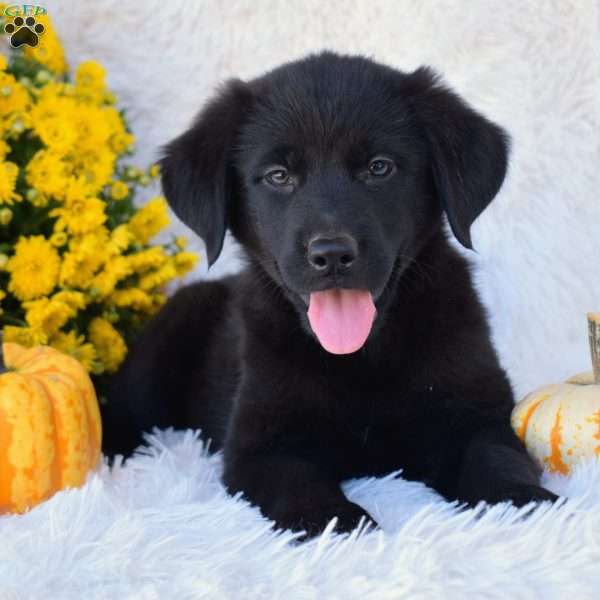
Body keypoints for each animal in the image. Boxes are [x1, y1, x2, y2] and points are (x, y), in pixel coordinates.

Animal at [104, 51, 556, 536]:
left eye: (379, 167)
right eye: (279, 176)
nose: (332, 254)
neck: (360, 357)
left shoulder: (476, 410)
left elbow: (493, 454)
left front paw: (522, 498)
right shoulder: (262, 442)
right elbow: (296, 482)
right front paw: (335, 520)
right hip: (159, 350)